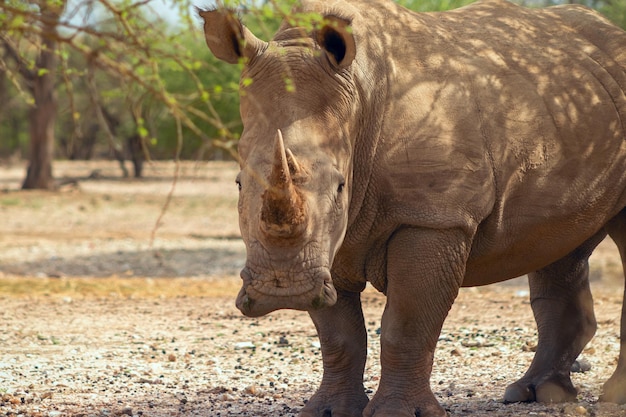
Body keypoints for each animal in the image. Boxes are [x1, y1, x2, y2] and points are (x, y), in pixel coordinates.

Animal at [199, 0, 624, 414]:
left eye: (340, 186)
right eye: (238, 183)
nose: (283, 290)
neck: (359, 96)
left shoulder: (434, 217)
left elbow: (406, 324)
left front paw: (396, 413)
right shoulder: (326, 242)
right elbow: (338, 334)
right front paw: (330, 411)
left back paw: (606, 396)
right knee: (560, 243)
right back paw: (535, 394)